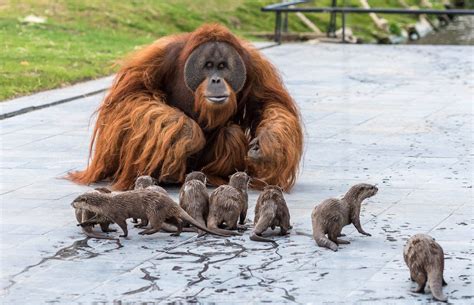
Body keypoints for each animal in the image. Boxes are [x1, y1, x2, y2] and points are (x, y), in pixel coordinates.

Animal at [71, 190, 231, 238]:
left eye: (76, 200)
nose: (71, 203)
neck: (105, 204)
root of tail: (170, 201)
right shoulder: (105, 214)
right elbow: (94, 219)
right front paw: (82, 223)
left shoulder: (116, 214)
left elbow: (123, 225)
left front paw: (124, 235)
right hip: (166, 213)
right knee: (177, 222)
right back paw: (176, 233)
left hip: (153, 211)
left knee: (157, 225)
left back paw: (145, 232)